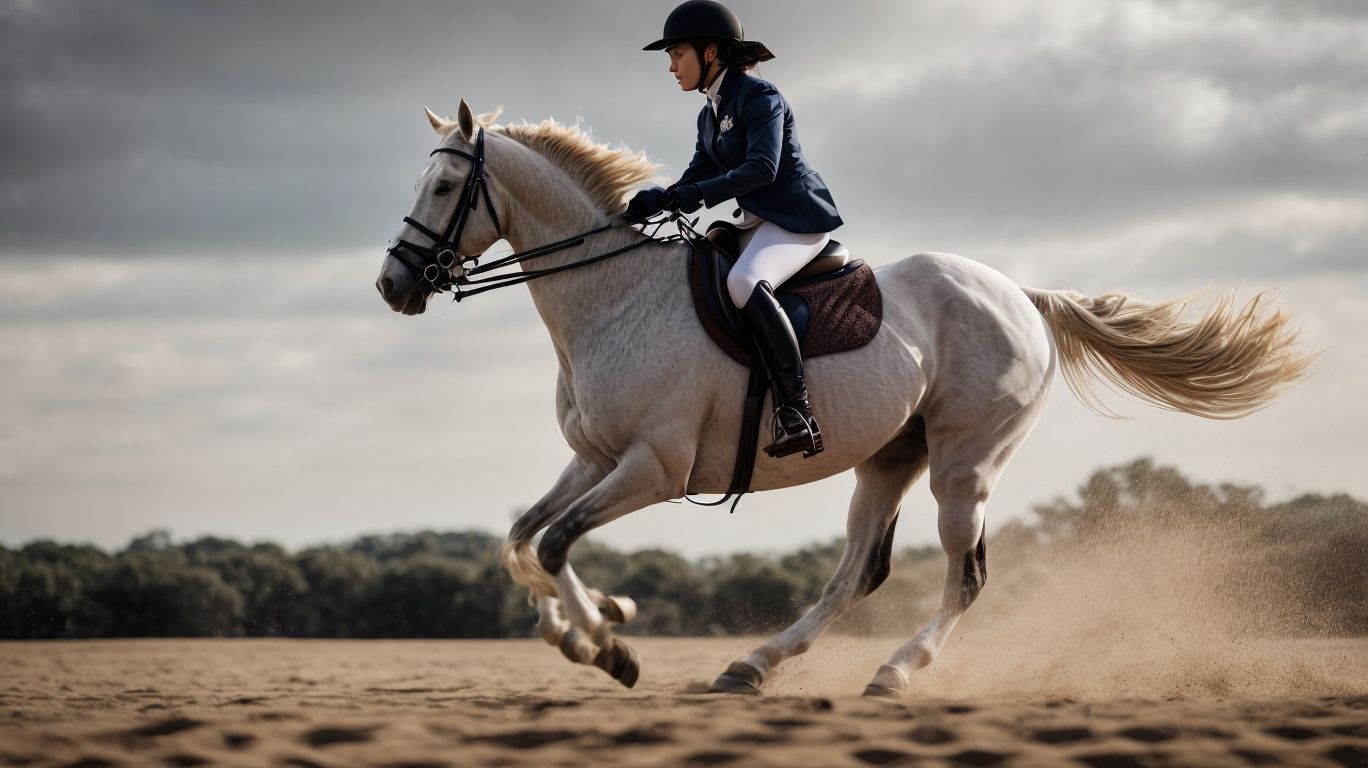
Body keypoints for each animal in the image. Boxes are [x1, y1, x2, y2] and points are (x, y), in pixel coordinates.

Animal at [375, 100, 1312, 696]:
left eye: (446, 190)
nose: (393, 285)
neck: (613, 297)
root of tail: (1021, 294)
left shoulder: (653, 467)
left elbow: (555, 542)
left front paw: (610, 647)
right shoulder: (594, 458)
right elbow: (522, 542)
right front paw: (599, 619)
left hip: (964, 467)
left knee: (963, 578)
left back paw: (892, 672)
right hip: (888, 461)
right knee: (858, 571)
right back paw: (750, 666)